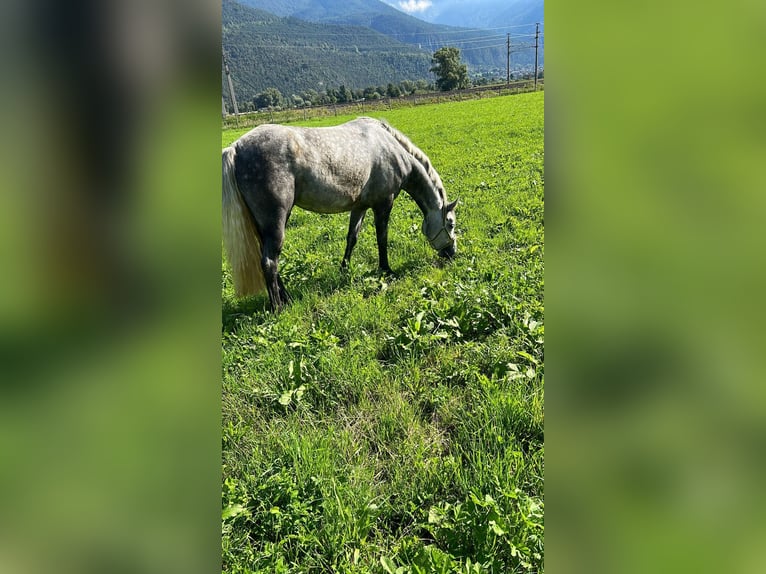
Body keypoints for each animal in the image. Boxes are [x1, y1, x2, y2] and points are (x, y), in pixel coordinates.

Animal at [225, 117, 460, 312]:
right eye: (450, 224)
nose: (451, 253)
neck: (392, 149)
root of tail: (236, 148)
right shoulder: (384, 204)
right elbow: (382, 238)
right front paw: (386, 269)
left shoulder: (360, 207)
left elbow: (351, 238)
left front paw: (344, 269)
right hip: (276, 221)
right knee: (269, 262)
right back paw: (279, 308)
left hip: (263, 226)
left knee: (268, 260)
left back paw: (287, 298)